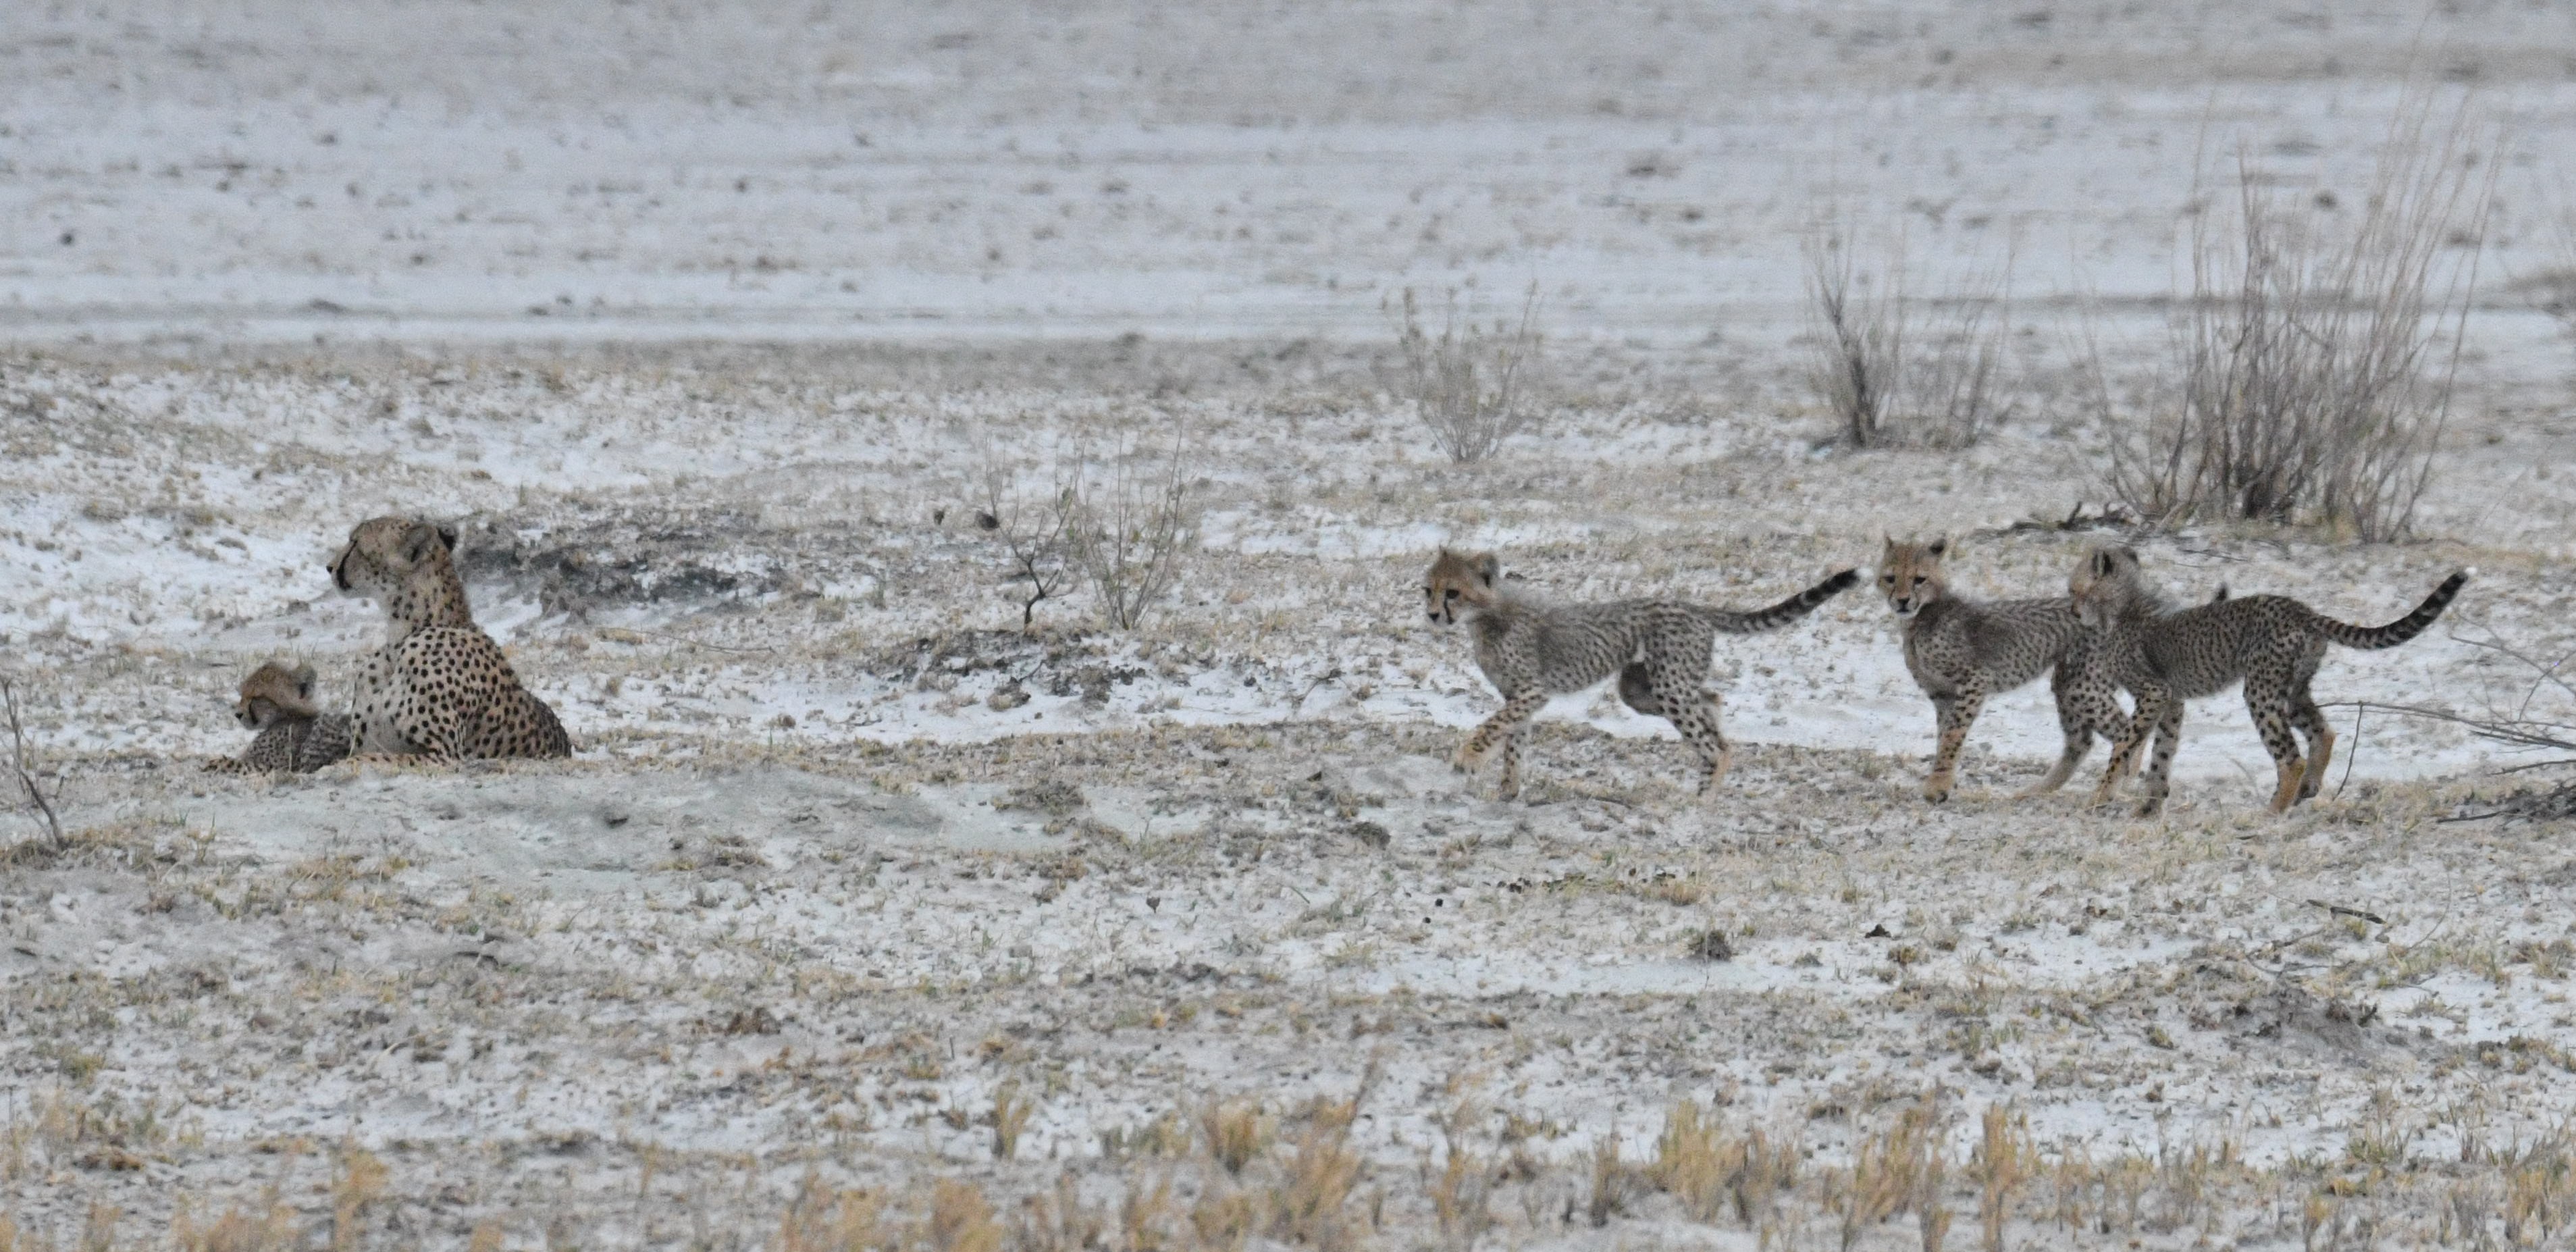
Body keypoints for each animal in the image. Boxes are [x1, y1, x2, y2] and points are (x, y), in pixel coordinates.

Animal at [327, 513, 574, 757]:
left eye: (355, 543)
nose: (329, 567)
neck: (399, 639)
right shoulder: (365, 744)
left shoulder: (444, 755)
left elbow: (373, 760)